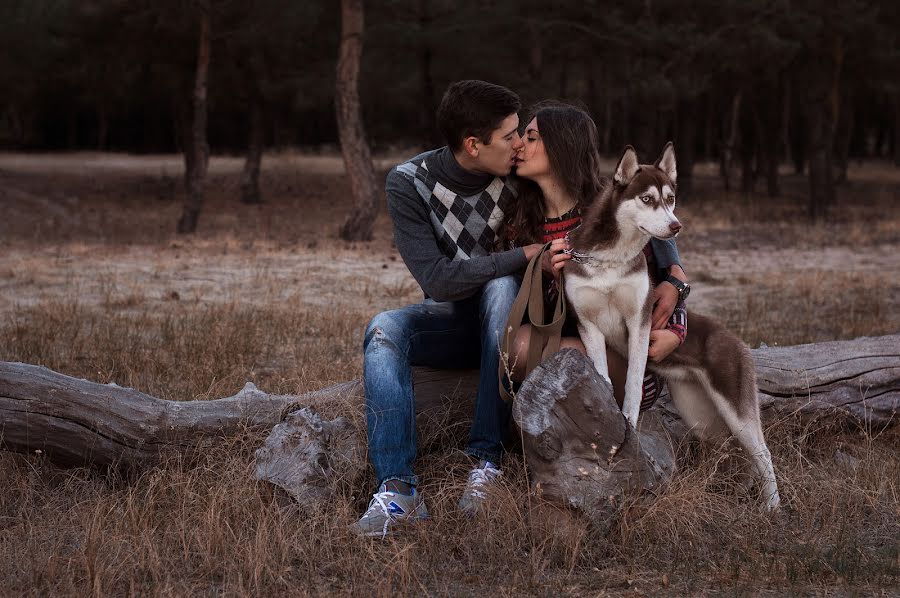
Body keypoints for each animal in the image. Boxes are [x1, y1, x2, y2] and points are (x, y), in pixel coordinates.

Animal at [564, 144, 780, 510]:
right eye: (647, 199)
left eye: (671, 198)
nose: (676, 225)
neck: (612, 259)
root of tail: (734, 339)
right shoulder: (588, 325)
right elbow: (603, 375)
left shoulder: (639, 322)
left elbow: (633, 384)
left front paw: (629, 420)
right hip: (701, 415)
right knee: (736, 449)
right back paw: (744, 491)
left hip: (735, 408)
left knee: (763, 453)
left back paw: (772, 506)